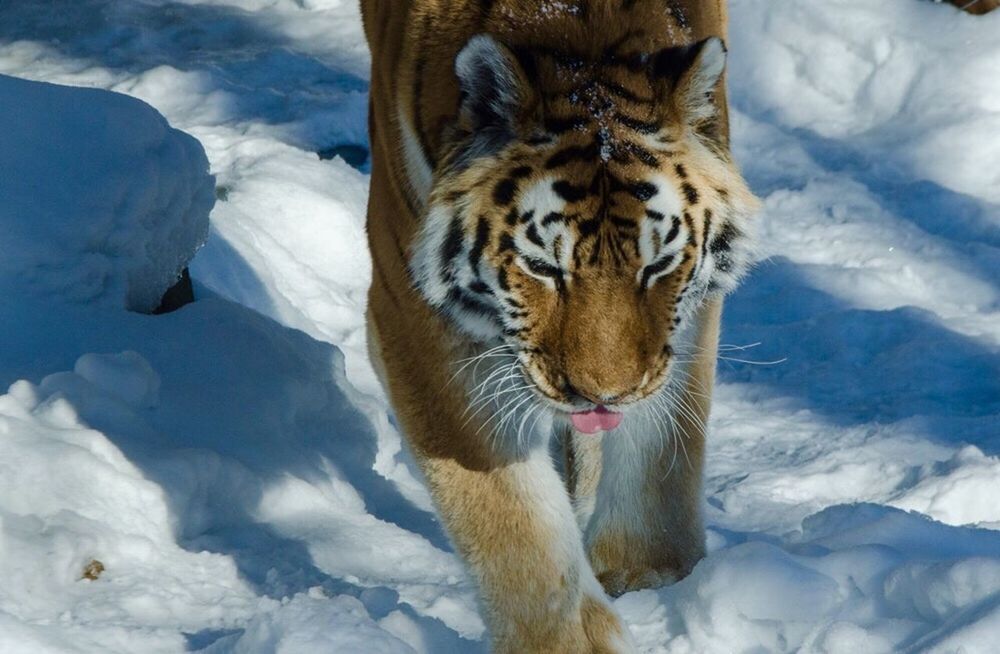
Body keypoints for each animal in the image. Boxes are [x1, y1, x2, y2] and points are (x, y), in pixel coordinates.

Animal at [360, 2, 756, 652]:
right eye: (543, 267)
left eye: (657, 266)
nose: (602, 395)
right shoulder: (412, 308)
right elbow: (510, 518)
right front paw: (574, 640)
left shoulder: (686, 316)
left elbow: (663, 446)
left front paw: (651, 578)